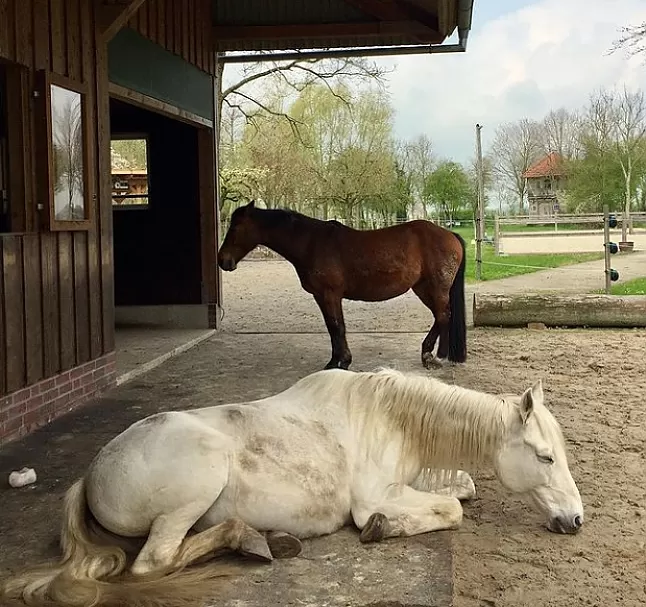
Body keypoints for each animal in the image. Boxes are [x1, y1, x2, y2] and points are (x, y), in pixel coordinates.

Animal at [0, 368, 588, 604]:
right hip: (193, 489)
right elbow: (451, 509)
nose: (576, 520)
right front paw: (382, 528)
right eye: (544, 456)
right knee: (155, 563)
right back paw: (253, 541)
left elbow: (462, 489)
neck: (393, 417)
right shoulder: (376, 495)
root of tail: (89, 475)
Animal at [220, 202, 468, 370]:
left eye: (235, 228)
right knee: (440, 316)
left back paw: (436, 356)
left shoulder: (330, 294)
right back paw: (430, 353)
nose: (223, 261)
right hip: (422, 288)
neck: (311, 243)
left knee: (443, 315)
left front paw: (340, 362)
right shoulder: (322, 296)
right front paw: (337, 360)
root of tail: (450, 234)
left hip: (436, 288)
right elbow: (333, 327)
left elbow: (337, 326)